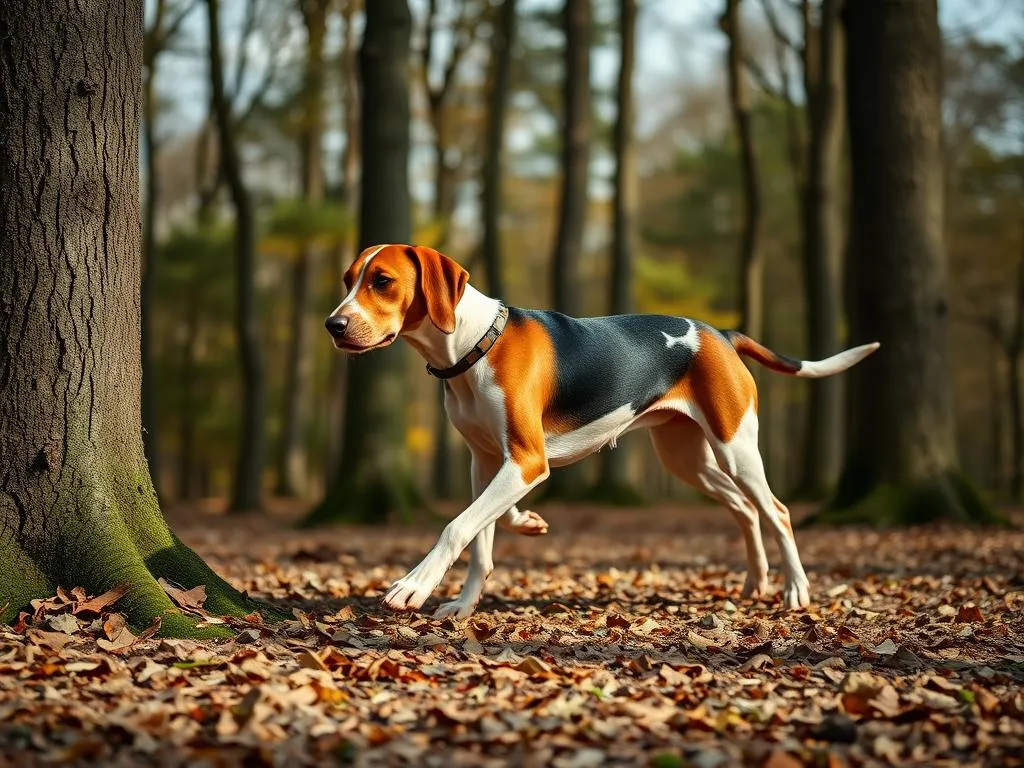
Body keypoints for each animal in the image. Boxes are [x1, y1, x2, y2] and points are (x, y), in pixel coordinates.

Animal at [323, 246, 876, 618]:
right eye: (349, 280)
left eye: (382, 281)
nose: (333, 325)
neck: (476, 344)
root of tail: (720, 333)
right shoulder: (486, 463)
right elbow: (481, 538)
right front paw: (466, 600)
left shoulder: (526, 459)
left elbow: (456, 526)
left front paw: (414, 585)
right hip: (688, 459)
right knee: (743, 508)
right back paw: (755, 581)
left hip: (736, 448)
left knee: (776, 512)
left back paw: (795, 591)